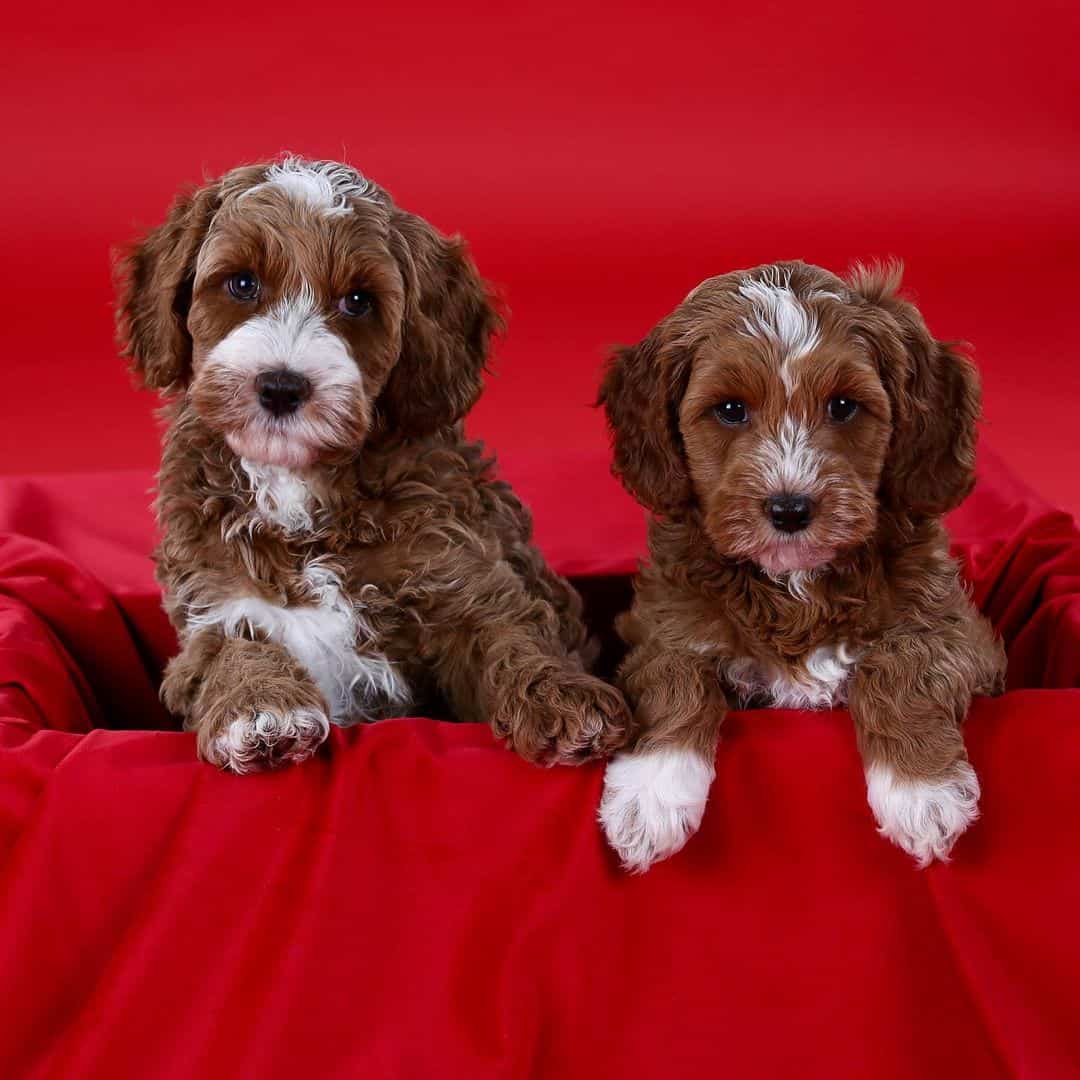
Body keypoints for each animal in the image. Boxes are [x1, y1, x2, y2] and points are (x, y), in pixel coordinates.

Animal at [115, 156, 630, 773]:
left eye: (358, 302)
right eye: (242, 284)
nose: (281, 386)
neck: (298, 485)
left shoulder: (460, 573)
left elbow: (507, 633)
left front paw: (562, 695)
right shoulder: (213, 602)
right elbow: (228, 649)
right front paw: (260, 710)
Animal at [600, 259, 1002, 868]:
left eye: (843, 406)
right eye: (730, 410)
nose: (790, 508)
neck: (796, 586)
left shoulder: (957, 630)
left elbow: (903, 663)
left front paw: (921, 792)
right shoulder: (663, 624)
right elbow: (676, 674)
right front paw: (648, 797)